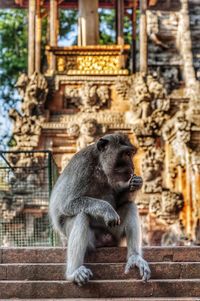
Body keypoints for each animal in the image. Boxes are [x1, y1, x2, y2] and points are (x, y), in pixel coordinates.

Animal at [49, 132, 151, 284]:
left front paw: (135, 184)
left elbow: (119, 201)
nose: (132, 167)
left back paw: (135, 258)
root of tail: (104, 239)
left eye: (131, 154)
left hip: (114, 235)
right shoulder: (82, 166)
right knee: (81, 215)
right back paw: (74, 272)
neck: (100, 165)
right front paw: (107, 209)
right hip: (90, 240)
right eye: (125, 154)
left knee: (130, 206)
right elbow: (67, 203)